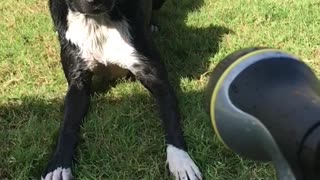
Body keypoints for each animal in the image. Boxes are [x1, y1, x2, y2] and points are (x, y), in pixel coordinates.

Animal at [42, 0, 202, 180]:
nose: (96, 2)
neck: (98, 21)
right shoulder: (77, 85)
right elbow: (67, 125)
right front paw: (59, 166)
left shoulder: (158, 81)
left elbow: (171, 119)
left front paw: (181, 161)